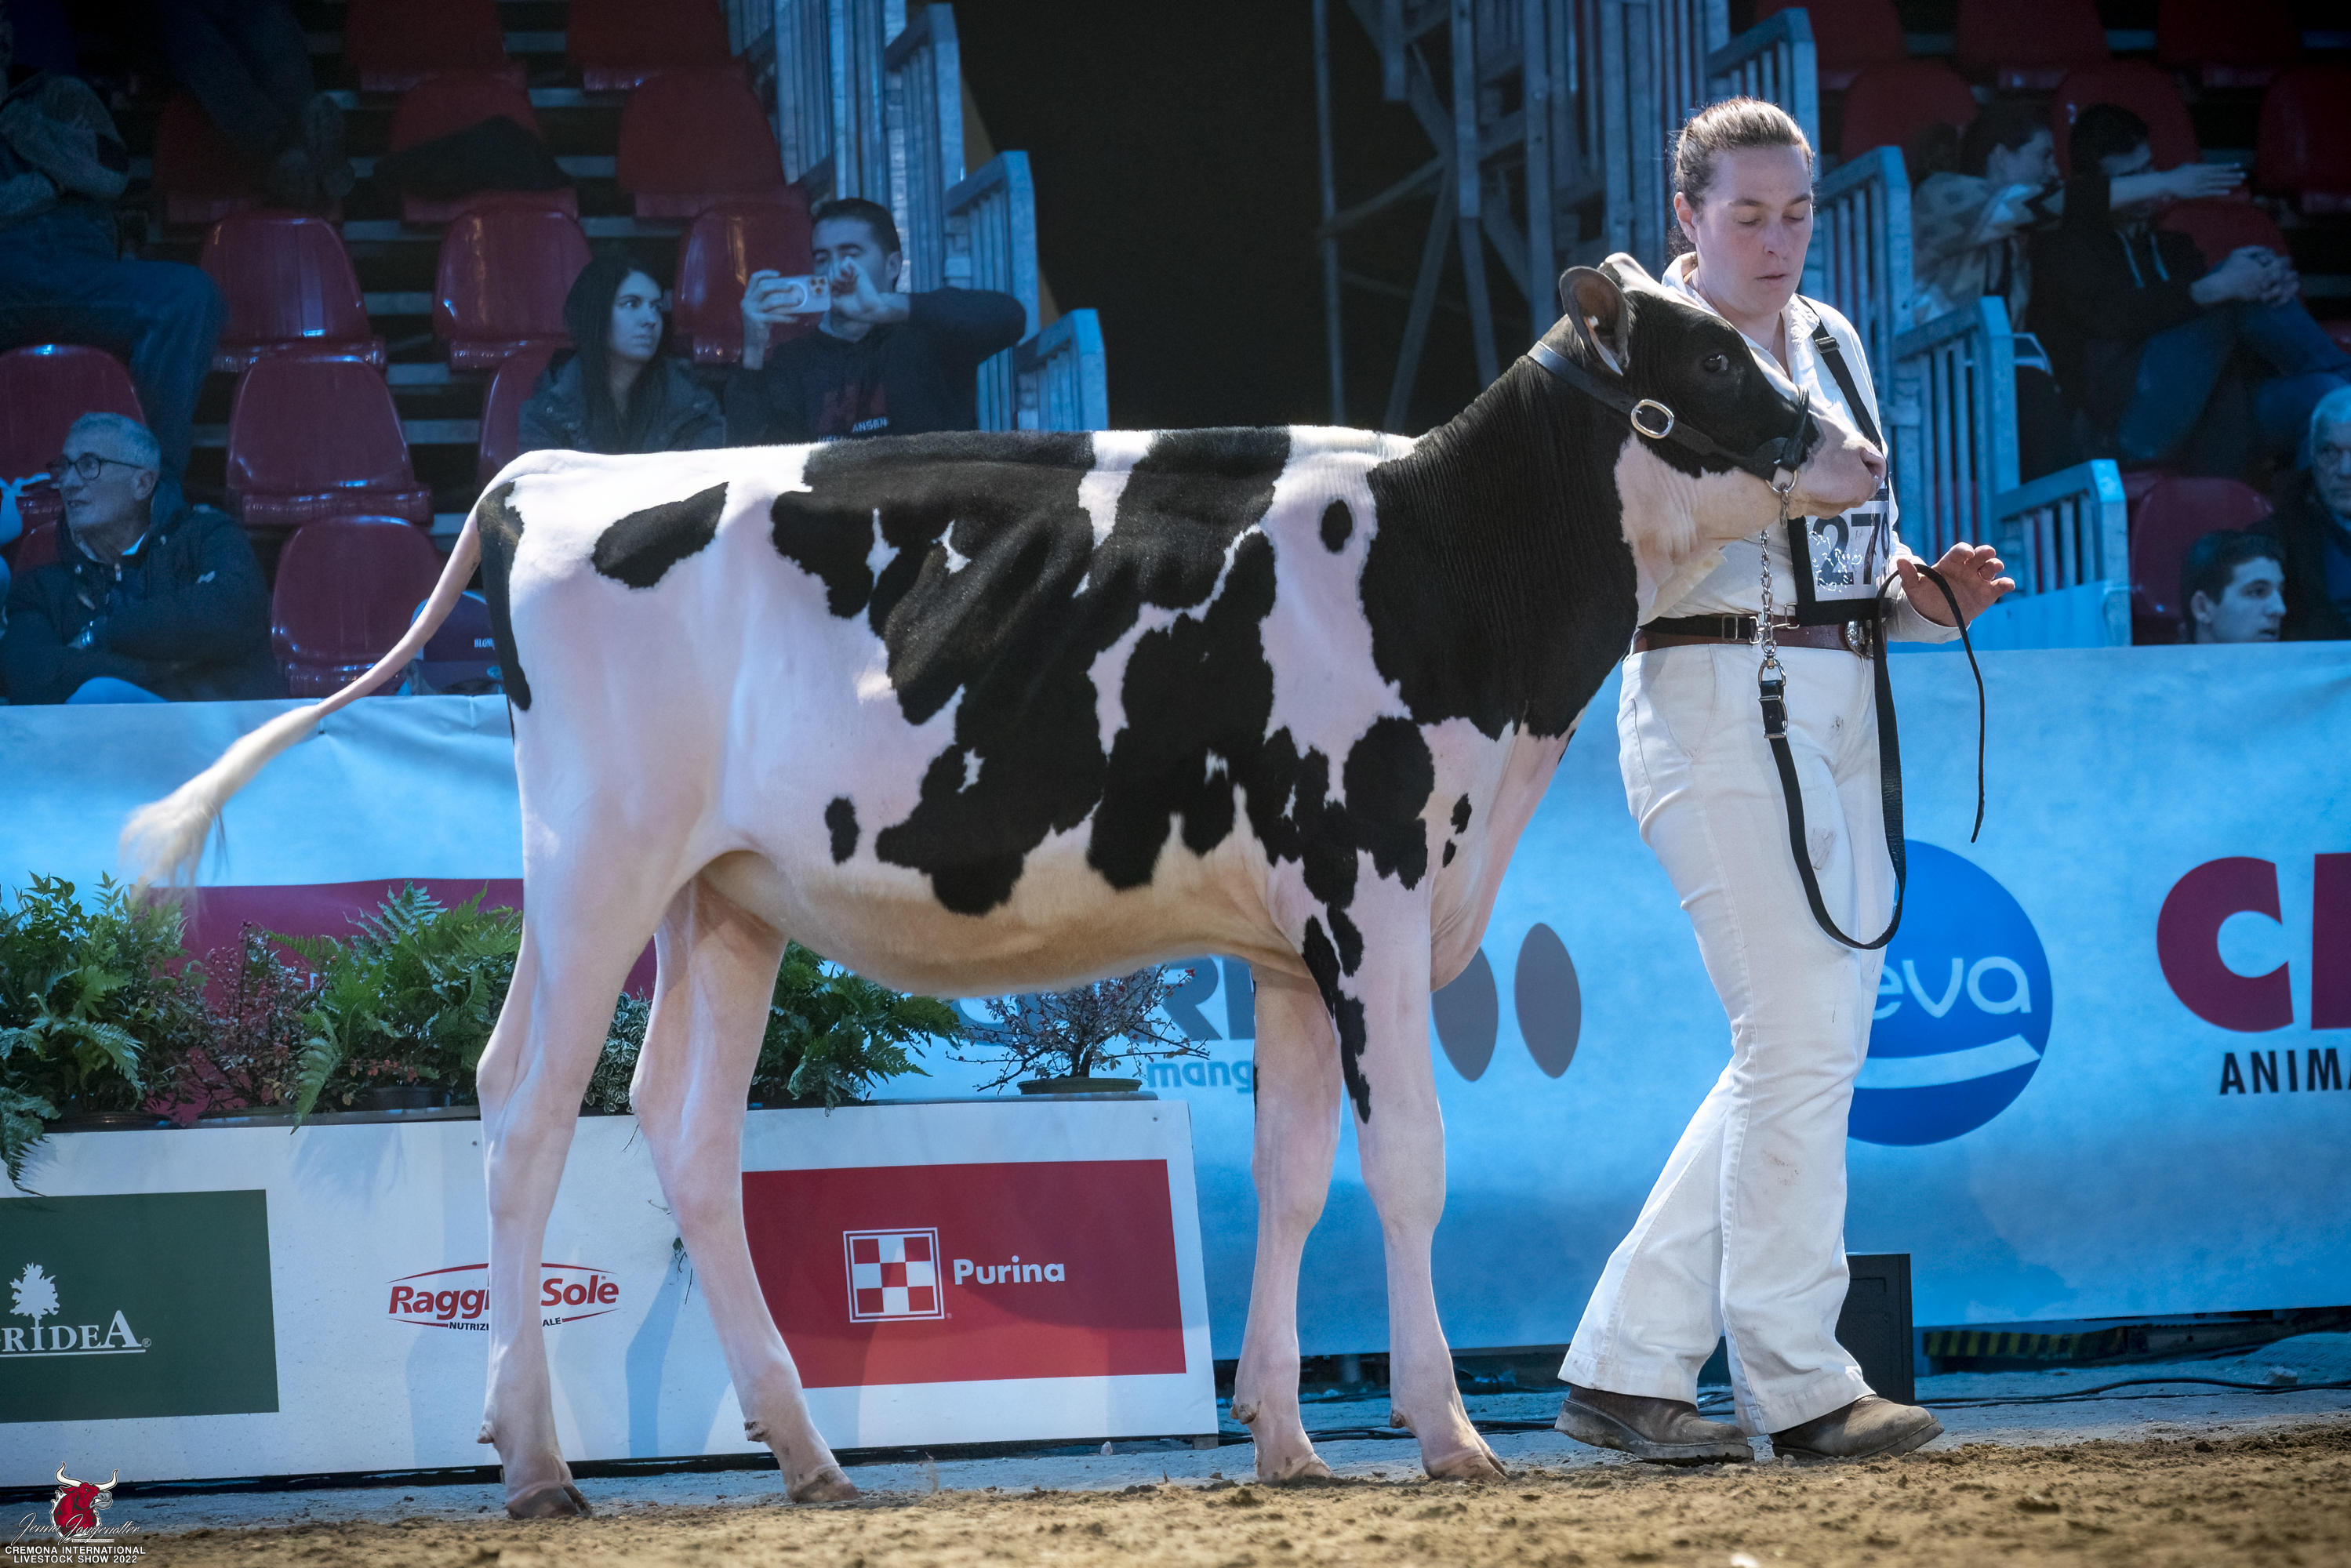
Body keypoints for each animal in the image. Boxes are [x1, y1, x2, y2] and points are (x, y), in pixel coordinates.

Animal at [126, 257, 1883, 1515]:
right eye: (1709, 361)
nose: (1859, 447)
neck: (1444, 573)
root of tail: (553, 474)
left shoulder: (1288, 940)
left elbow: (1294, 1174)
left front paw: (1283, 1434)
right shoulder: (1370, 890)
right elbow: (1407, 1170)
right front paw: (1447, 1428)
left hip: (721, 898)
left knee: (682, 1133)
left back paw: (808, 1455)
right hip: (593, 864)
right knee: (520, 1105)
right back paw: (542, 1463)